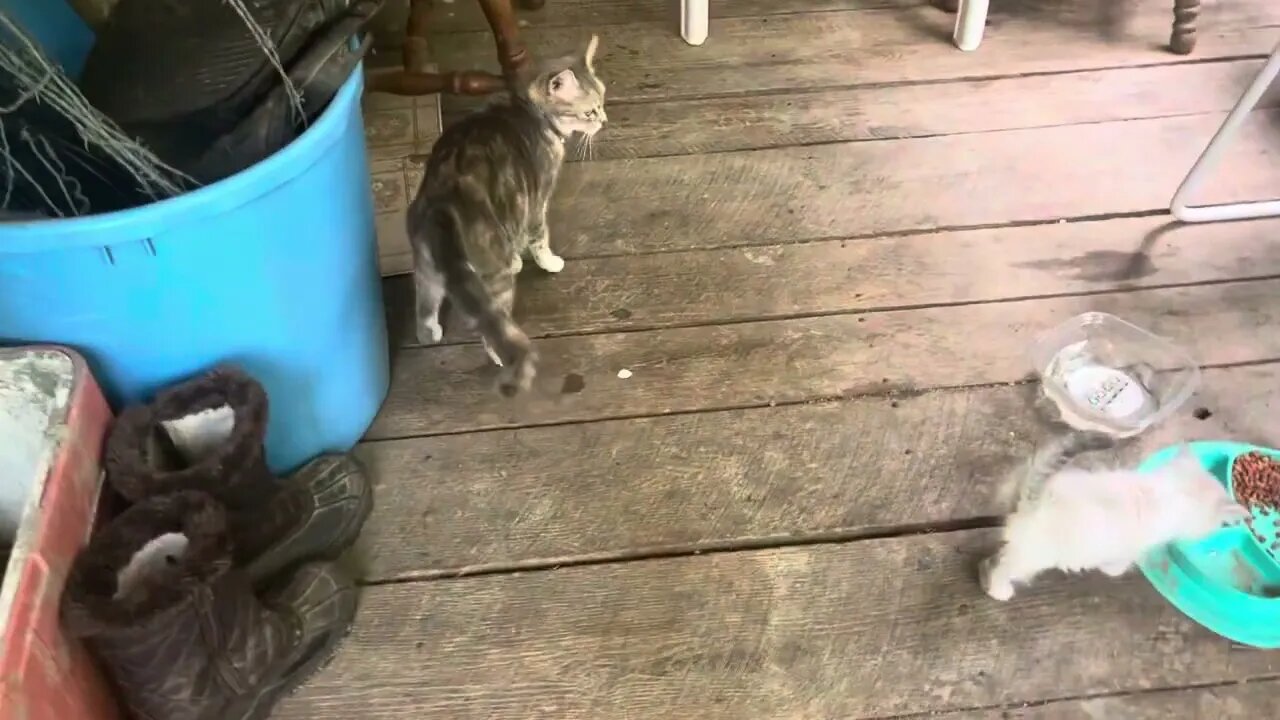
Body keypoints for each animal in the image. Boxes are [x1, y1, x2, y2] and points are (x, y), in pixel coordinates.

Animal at [409, 35, 609, 392]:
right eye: (590, 110)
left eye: (603, 101)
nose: (604, 120)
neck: (532, 110)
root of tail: (441, 201)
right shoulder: (536, 198)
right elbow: (538, 236)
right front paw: (547, 262)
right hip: (494, 276)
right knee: (494, 323)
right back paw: (502, 356)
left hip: (426, 264)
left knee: (425, 303)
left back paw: (430, 333)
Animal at [977, 435, 1249, 597]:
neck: (1168, 492)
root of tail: (1035, 499)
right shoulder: (1125, 548)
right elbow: (1116, 567)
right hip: (1034, 556)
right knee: (1004, 567)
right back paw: (1000, 590)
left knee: (993, 559)